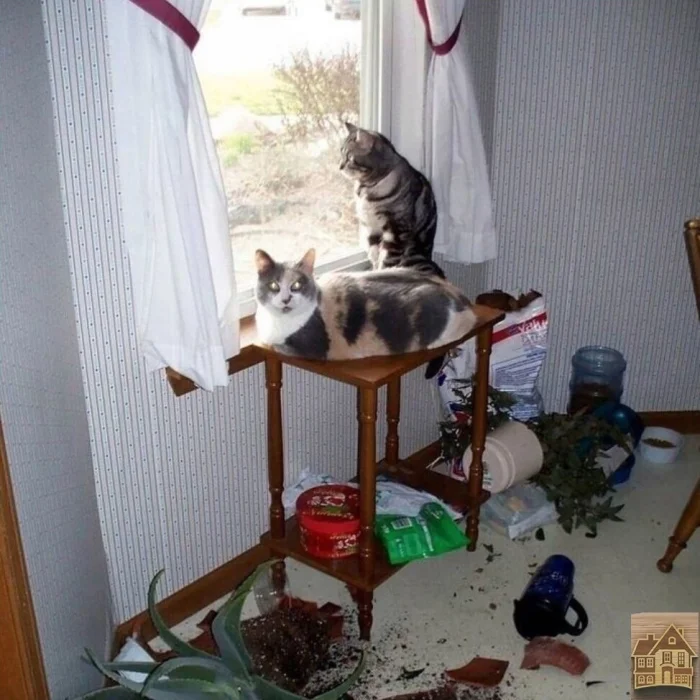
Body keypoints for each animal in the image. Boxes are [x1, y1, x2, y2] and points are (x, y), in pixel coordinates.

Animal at [254, 249, 475, 361]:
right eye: (274, 285)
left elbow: (273, 345)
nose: (286, 299)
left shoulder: (311, 348)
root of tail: (459, 296)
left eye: (297, 285)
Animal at [340, 122, 443, 278]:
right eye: (341, 153)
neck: (367, 187)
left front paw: (381, 276)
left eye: (349, 158)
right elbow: (375, 257)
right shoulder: (372, 229)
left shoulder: (395, 231)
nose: (339, 167)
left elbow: (387, 261)